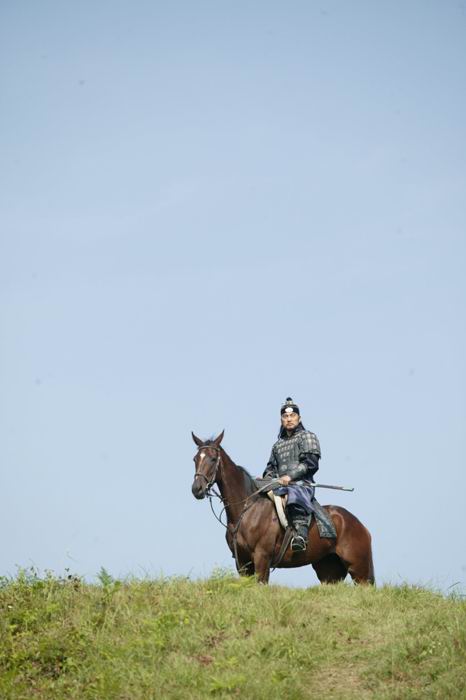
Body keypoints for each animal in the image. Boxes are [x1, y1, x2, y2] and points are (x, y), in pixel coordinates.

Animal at [190, 432, 374, 584]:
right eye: (195, 459)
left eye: (213, 459)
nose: (197, 489)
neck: (246, 511)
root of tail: (359, 524)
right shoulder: (242, 562)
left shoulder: (262, 559)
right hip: (329, 571)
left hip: (359, 570)